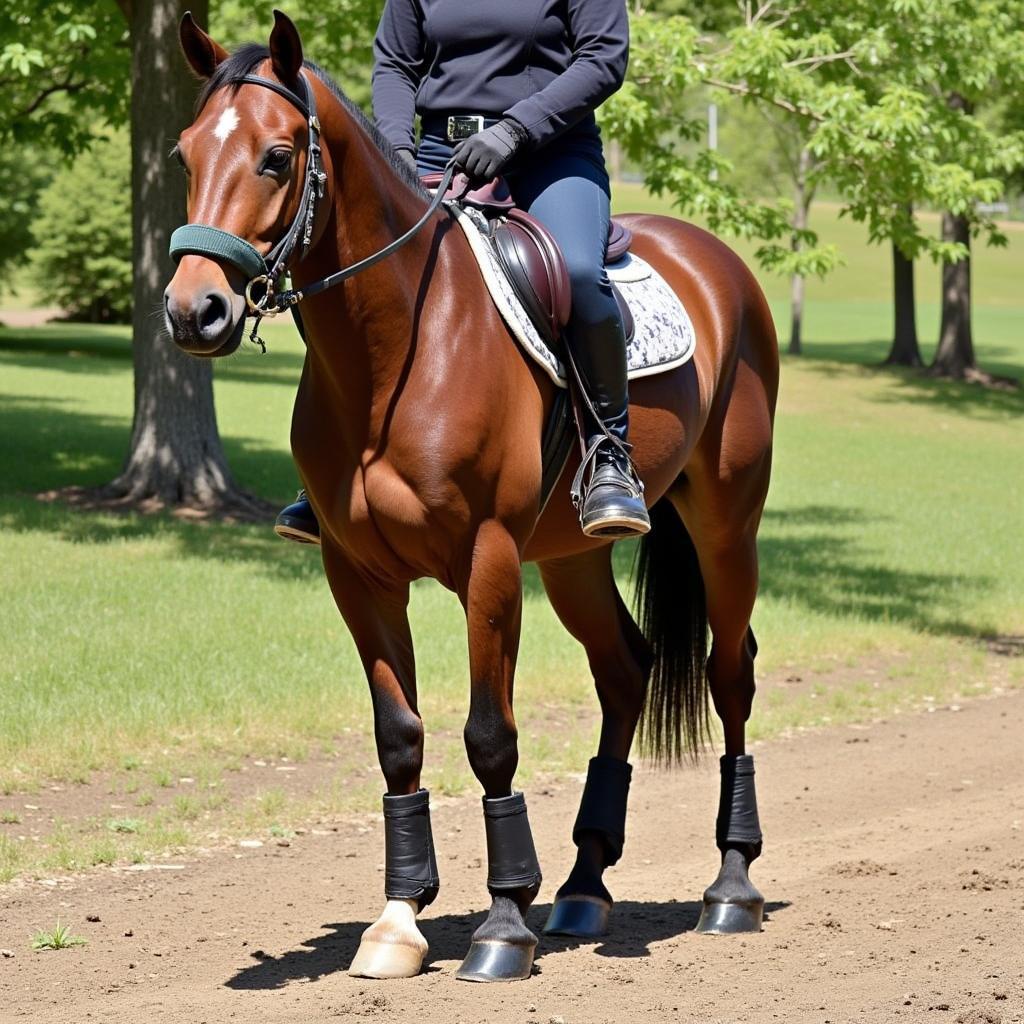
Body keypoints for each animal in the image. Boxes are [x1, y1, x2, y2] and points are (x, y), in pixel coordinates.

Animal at [165, 9, 774, 983]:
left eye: (275, 156)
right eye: (185, 154)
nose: (197, 312)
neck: (399, 348)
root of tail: (720, 264)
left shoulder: (486, 560)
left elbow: (490, 736)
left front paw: (502, 924)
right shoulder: (359, 575)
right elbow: (399, 737)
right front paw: (398, 921)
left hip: (726, 525)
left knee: (730, 674)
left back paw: (730, 886)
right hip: (570, 558)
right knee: (625, 669)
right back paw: (584, 887)